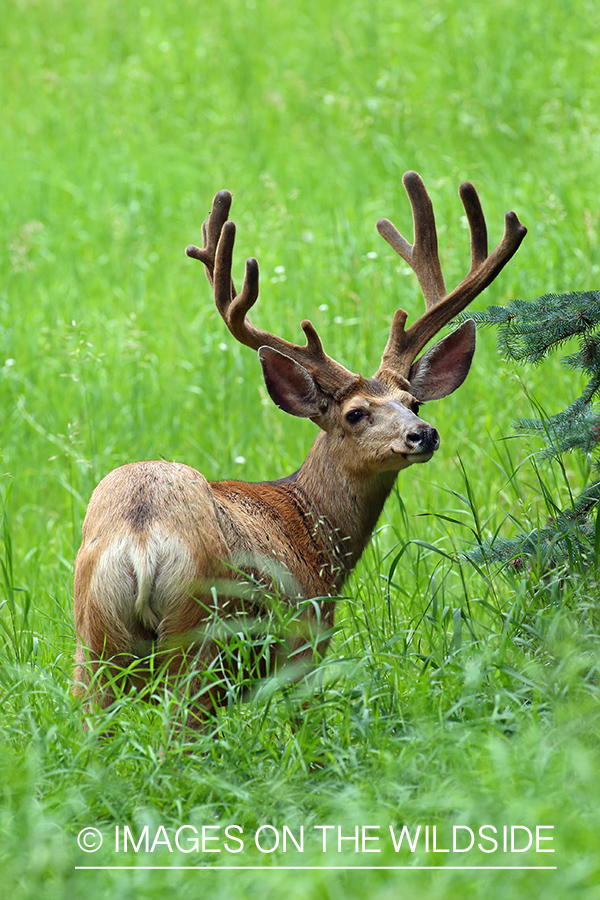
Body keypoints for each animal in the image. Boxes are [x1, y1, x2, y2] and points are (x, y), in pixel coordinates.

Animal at [73, 172, 526, 728]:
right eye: (354, 413)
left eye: (412, 401)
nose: (423, 434)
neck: (313, 527)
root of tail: (141, 535)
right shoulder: (303, 640)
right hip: (200, 635)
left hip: (95, 642)